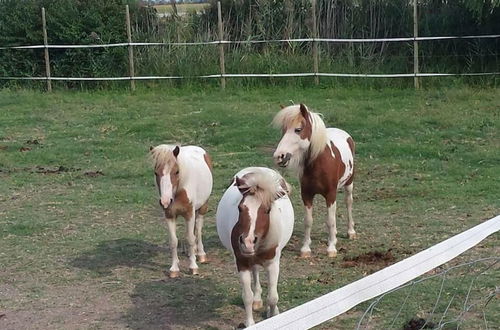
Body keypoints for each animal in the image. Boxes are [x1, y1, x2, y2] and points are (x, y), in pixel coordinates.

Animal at [148, 146, 211, 278]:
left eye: (176, 171)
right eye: (156, 172)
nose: (165, 201)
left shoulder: (189, 214)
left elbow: (190, 238)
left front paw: (193, 267)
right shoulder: (169, 215)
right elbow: (173, 241)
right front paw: (174, 269)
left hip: (202, 208)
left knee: (198, 229)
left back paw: (201, 254)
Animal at [215, 168, 292, 328]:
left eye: (267, 210)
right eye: (240, 208)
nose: (247, 242)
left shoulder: (273, 263)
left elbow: (273, 297)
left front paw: (273, 315)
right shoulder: (242, 263)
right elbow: (247, 297)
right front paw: (250, 323)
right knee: (255, 272)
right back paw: (257, 299)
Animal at [274, 104, 356, 260]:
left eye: (298, 129)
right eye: (283, 130)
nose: (279, 156)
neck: (319, 164)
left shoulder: (330, 194)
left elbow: (330, 220)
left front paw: (331, 248)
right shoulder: (306, 195)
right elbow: (308, 221)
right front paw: (305, 249)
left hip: (349, 183)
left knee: (348, 203)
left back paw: (351, 232)